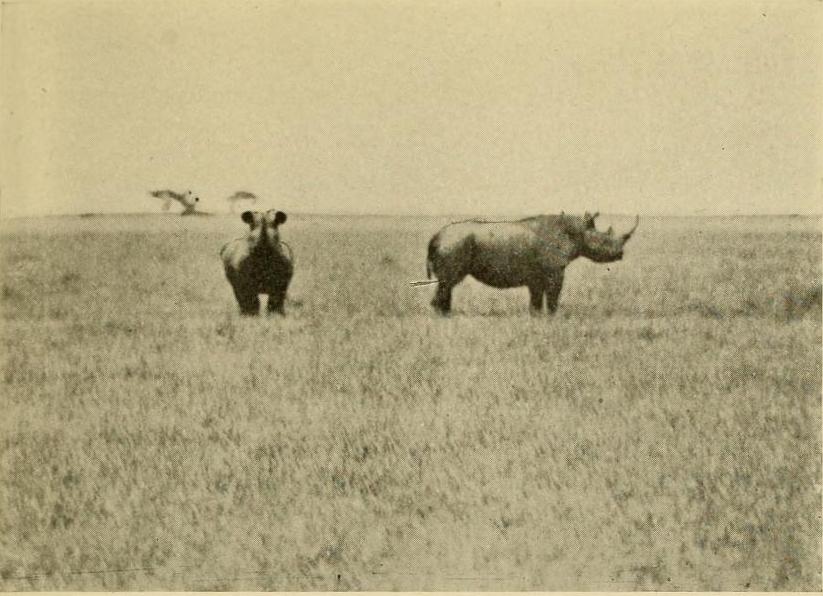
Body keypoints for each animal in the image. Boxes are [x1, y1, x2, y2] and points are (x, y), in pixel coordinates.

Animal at [425, 212, 639, 315]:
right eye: (604, 241)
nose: (620, 254)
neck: (577, 233)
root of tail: (436, 236)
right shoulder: (555, 271)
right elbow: (553, 297)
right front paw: (553, 318)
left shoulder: (537, 275)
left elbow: (536, 301)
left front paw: (536, 318)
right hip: (453, 244)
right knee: (448, 283)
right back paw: (442, 318)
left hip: (452, 243)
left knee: (447, 286)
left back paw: (448, 316)